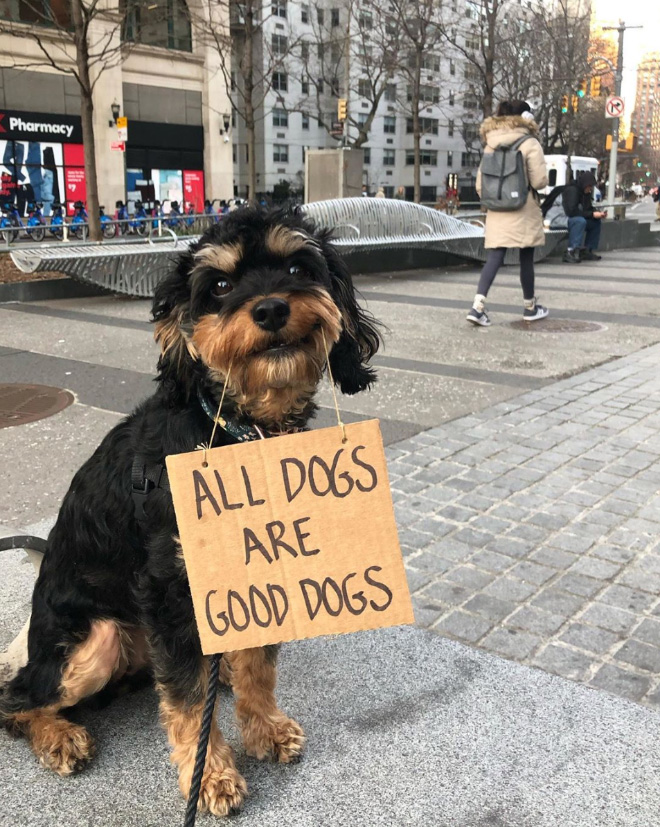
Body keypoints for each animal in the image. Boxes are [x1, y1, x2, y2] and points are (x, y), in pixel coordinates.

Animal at [0, 207, 378, 816]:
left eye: (298, 266)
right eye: (219, 286)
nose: (271, 308)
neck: (235, 432)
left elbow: (258, 666)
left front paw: (263, 728)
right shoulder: (168, 589)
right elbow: (184, 701)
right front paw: (210, 777)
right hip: (92, 641)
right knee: (16, 700)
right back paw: (59, 736)